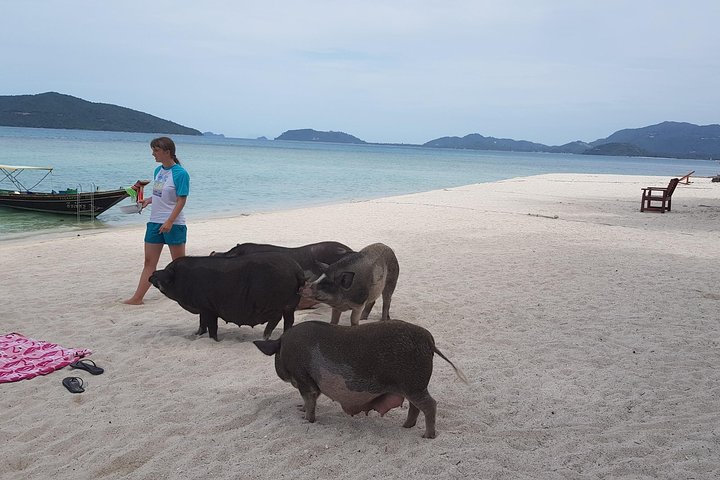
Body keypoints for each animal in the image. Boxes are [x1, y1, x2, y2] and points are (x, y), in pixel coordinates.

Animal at [148, 253, 305, 341]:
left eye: (166, 271)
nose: (152, 274)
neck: (183, 279)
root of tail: (296, 270)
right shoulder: (202, 308)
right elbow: (201, 323)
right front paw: (196, 334)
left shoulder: (208, 308)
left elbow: (212, 326)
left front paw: (214, 340)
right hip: (291, 305)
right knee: (289, 320)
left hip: (272, 303)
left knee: (276, 317)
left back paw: (264, 338)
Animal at [253, 319, 468, 438]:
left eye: (275, 356)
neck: (285, 347)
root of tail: (429, 339)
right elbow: (308, 401)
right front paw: (300, 410)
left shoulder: (304, 380)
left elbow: (310, 400)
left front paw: (307, 420)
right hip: (413, 388)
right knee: (416, 407)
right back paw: (406, 426)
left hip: (414, 385)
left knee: (431, 405)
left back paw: (427, 436)